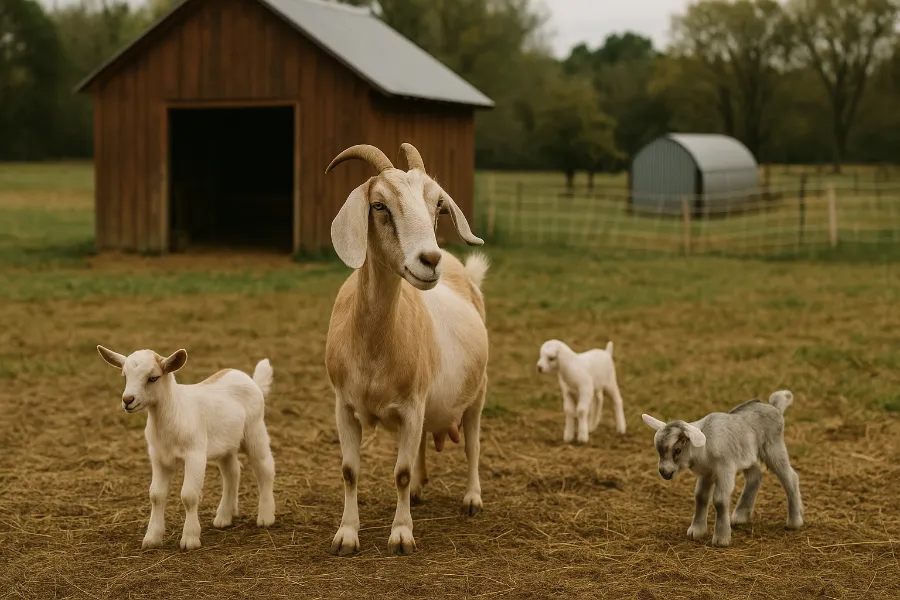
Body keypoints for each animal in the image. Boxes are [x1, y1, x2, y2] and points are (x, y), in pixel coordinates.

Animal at [96, 346, 276, 550]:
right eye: (125, 376)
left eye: (153, 378)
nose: (128, 400)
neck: (174, 412)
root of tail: (251, 381)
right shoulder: (158, 457)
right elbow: (156, 495)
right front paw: (152, 538)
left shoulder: (195, 454)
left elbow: (189, 496)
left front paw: (190, 539)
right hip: (226, 445)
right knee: (232, 473)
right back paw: (224, 517)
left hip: (255, 430)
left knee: (264, 468)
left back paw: (266, 517)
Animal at [323, 143, 489, 556]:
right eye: (379, 205)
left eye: (438, 206)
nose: (430, 260)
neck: (374, 350)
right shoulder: (344, 406)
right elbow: (350, 471)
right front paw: (346, 535)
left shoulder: (412, 405)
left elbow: (399, 471)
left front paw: (400, 535)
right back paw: (417, 491)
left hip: (477, 393)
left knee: (473, 445)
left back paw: (472, 499)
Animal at [641, 390, 803, 547]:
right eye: (658, 450)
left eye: (677, 450)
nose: (664, 472)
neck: (704, 448)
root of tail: (775, 406)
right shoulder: (706, 473)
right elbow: (700, 497)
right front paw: (696, 531)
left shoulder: (725, 470)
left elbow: (719, 500)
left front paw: (721, 539)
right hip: (747, 455)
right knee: (756, 474)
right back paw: (740, 516)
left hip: (773, 447)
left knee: (790, 477)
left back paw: (794, 521)